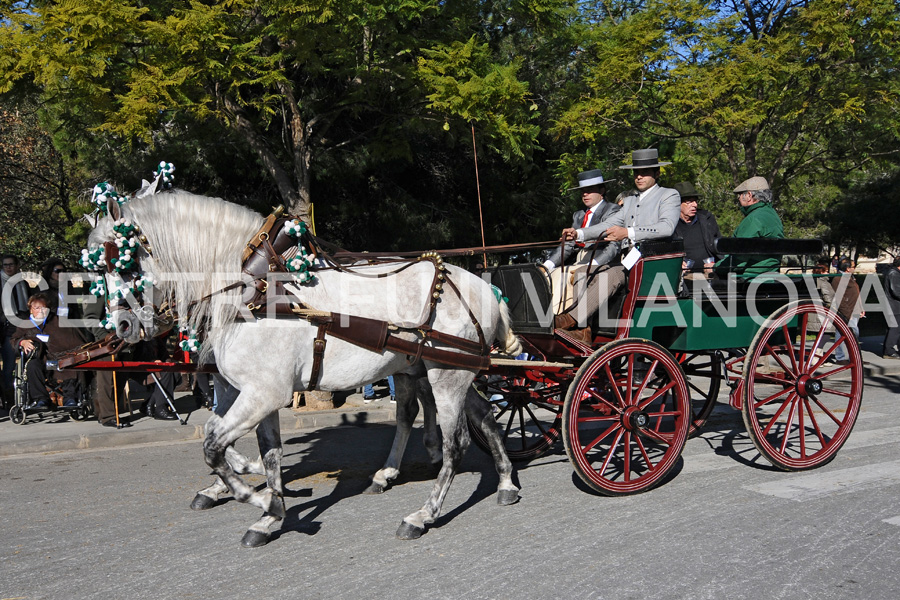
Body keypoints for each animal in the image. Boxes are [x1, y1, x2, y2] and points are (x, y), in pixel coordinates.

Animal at [88, 192, 524, 548]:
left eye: (123, 263)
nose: (121, 326)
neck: (252, 291)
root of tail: (484, 288)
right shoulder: (255, 395)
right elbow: (267, 453)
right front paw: (269, 514)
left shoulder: (262, 394)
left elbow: (213, 446)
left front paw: (260, 499)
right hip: (445, 369)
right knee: (481, 415)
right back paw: (503, 482)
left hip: (447, 375)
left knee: (456, 443)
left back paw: (423, 514)